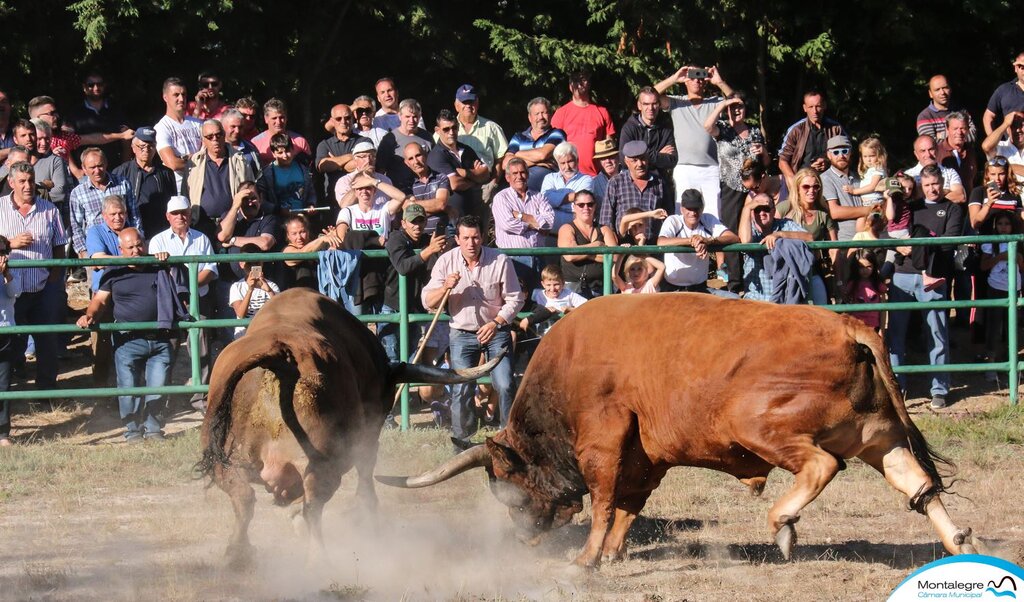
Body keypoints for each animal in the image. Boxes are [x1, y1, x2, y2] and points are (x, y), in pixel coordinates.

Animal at [194, 286, 499, 565]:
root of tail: (279, 353)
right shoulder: (367, 434)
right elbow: (365, 475)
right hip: (325, 462)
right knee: (311, 505)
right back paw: (318, 557)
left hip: (230, 460)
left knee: (244, 497)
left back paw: (237, 552)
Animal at [382, 294, 983, 565]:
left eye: (508, 490)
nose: (525, 539)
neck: (568, 365)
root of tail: (848, 327)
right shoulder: (646, 458)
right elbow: (628, 505)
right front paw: (612, 553)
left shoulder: (602, 441)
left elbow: (604, 499)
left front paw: (586, 558)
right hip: (878, 437)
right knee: (916, 485)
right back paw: (956, 542)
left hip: (759, 425)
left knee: (820, 465)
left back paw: (783, 525)